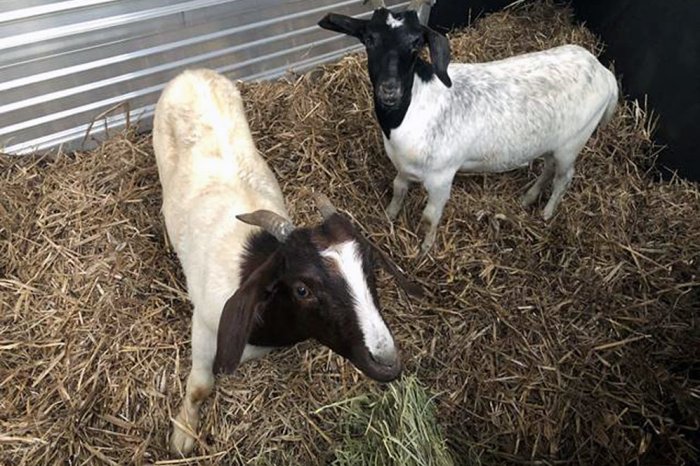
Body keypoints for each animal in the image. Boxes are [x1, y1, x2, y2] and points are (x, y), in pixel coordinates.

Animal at [153, 69, 407, 455]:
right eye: (302, 289)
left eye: (371, 269)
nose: (386, 361)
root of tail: (192, 73)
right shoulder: (204, 326)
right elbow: (200, 387)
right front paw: (183, 435)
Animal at [319, 0, 619, 253]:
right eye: (369, 39)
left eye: (416, 43)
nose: (390, 90)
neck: (413, 107)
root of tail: (603, 71)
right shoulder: (404, 166)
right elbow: (398, 189)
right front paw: (389, 217)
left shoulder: (441, 177)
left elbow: (430, 217)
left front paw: (425, 249)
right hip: (552, 143)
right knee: (548, 167)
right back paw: (528, 198)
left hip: (573, 142)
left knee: (564, 177)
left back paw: (547, 212)